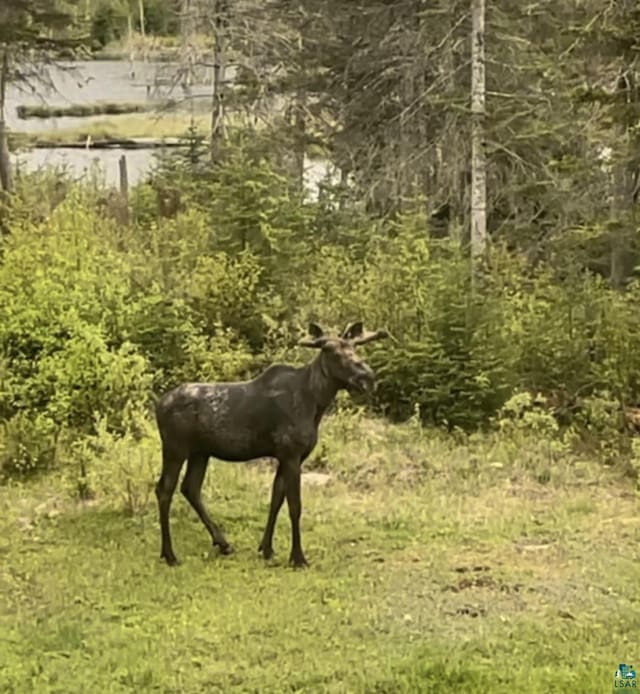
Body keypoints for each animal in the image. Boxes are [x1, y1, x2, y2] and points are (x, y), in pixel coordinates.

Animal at [154, 324, 390, 568]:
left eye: (355, 348)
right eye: (331, 351)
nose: (366, 378)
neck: (315, 404)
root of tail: (157, 405)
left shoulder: (288, 456)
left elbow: (276, 499)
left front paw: (267, 549)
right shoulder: (291, 454)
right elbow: (295, 506)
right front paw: (297, 557)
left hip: (201, 452)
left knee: (190, 488)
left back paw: (223, 543)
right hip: (175, 448)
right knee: (164, 489)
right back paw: (169, 554)